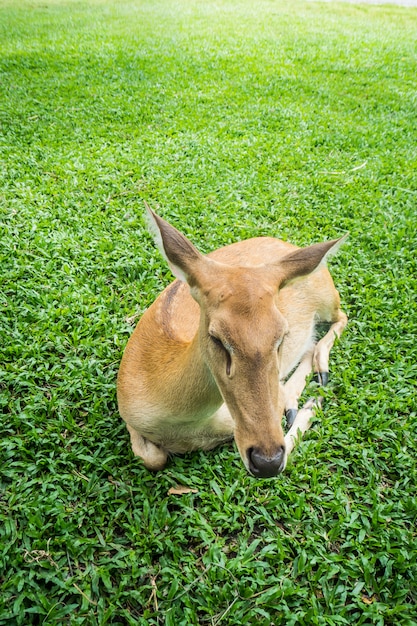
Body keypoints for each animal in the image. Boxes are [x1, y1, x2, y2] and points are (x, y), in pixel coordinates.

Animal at [115, 202, 346, 476]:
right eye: (216, 337)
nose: (267, 461)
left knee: (341, 318)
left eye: (281, 335)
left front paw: (309, 406)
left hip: (328, 297)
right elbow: (151, 458)